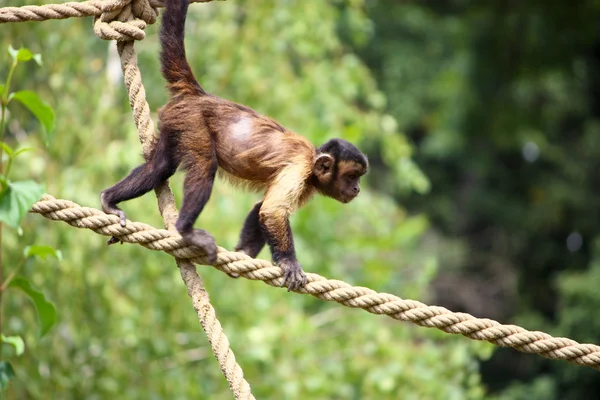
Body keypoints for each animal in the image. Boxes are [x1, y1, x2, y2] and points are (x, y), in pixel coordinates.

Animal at [101, 0, 368, 290]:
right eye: (352, 176)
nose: (357, 188)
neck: (312, 160)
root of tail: (201, 95)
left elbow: (260, 208)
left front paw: (244, 253)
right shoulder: (300, 168)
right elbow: (272, 212)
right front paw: (289, 262)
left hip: (176, 120)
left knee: (159, 167)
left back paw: (109, 200)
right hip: (193, 120)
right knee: (205, 165)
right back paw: (185, 230)